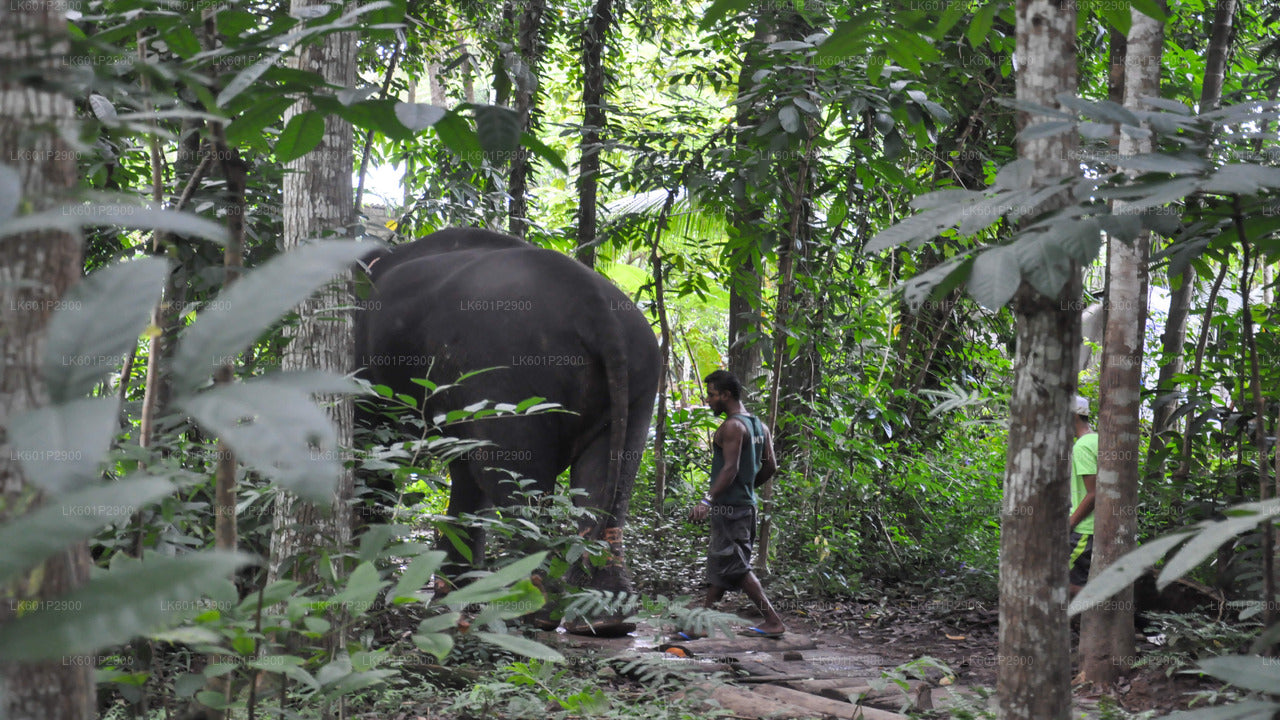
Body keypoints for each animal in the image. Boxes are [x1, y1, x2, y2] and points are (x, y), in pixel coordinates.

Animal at [353, 227, 659, 634]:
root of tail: (597, 308)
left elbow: (373, 457)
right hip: (640, 378)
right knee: (609, 479)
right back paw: (607, 618)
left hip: (508, 376)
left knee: (510, 477)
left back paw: (533, 610)